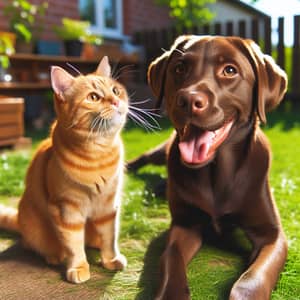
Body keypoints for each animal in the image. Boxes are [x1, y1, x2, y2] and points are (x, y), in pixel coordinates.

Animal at [0, 56, 127, 284]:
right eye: (94, 97)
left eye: (116, 91)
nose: (115, 101)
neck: (98, 154)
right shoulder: (66, 209)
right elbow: (74, 245)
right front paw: (78, 267)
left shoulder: (108, 207)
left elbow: (109, 237)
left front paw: (111, 260)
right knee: (34, 245)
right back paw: (54, 255)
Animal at [129, 35, 288, 300]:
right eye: (179, 68)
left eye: (230, 70)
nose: (188, 101)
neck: (217, 172)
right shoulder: (184, 225)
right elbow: (170, 258)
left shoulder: (272, 235)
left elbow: (251, 280)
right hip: (160, 152)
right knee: (142, 158)